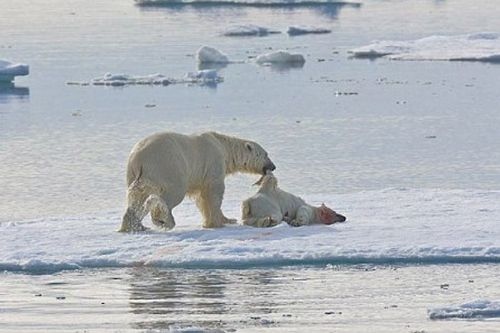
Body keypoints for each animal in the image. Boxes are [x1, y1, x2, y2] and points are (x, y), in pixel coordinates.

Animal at [118, 130, 276, 231]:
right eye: (266, 154)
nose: (273, 166)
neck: (223, 146)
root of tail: (139, 159)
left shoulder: (201, 175)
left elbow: (202, 197)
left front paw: (218, 221)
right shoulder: (214, 164)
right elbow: (214, 193)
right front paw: (221, 221)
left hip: (134, 174)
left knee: (138, 197)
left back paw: (136, 226)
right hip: (167, 167)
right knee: (171, 194)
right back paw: (165, 220)